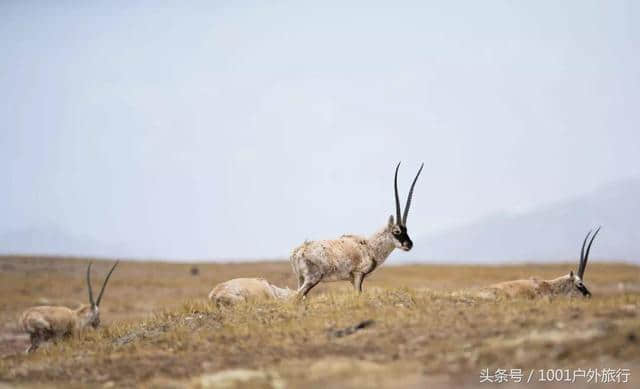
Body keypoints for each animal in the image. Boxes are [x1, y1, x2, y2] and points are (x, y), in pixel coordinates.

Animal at [292, 161, 424, 298]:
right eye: (396, 231)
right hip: (313, 278)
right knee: (296, 296)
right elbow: (359, 295)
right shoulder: (358, 275)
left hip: (301, 278)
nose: (409, 245)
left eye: (406, 230)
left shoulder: (352, 279)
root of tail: (298, 252)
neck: (370, 247)